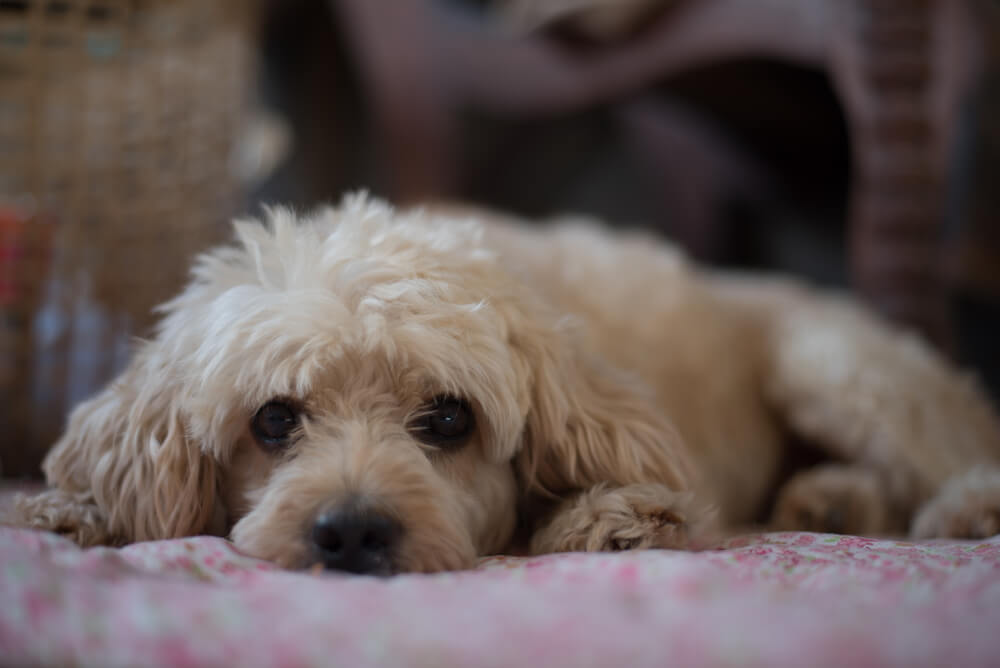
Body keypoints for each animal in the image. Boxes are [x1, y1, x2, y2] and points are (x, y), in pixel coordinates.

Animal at [13, 193, 1000, 576]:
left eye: (449, 420)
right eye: (274, 420)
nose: (352, 531)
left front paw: (611, 517)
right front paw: (70, 510)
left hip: (828, 362)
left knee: (954, 447)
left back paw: (963, 508)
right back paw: (832, 499)